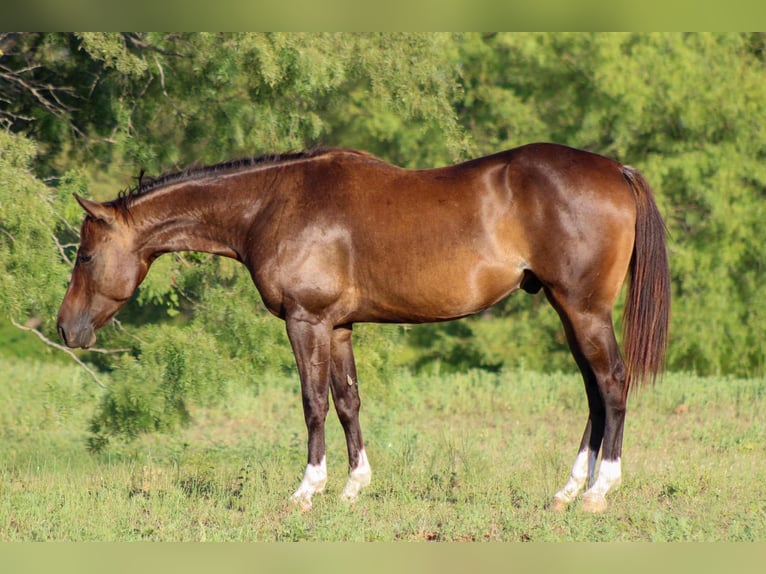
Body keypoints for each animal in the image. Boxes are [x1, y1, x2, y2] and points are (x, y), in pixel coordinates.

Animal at [57, 143, 670, 512]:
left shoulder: (306, 322)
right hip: (570, 311)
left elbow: (313, 403)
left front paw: (308, 489)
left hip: (583, 309)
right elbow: (348, 401)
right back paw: (568, 489)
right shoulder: (339, 326)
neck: (272, 204)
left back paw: (599, 490)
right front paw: (354, 486)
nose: (66, 330)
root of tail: (615, 169)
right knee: (593, 392)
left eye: (85, 255)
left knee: (612, 383)